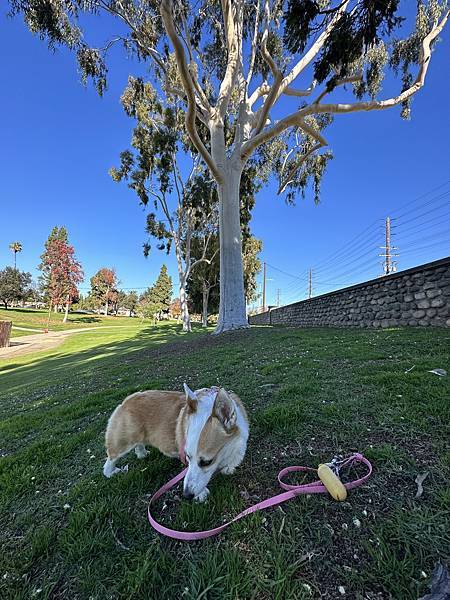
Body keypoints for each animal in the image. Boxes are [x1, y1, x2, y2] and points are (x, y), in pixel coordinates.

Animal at [103, 384, 250, 502]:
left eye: (206, 462)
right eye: (187, 457)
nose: (186, 495)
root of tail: (127, 400)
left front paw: (227, 469)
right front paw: (201, 494)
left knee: (139, 444)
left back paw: (142, 454)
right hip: (123, 441)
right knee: (111, 458)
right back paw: (111, 472)